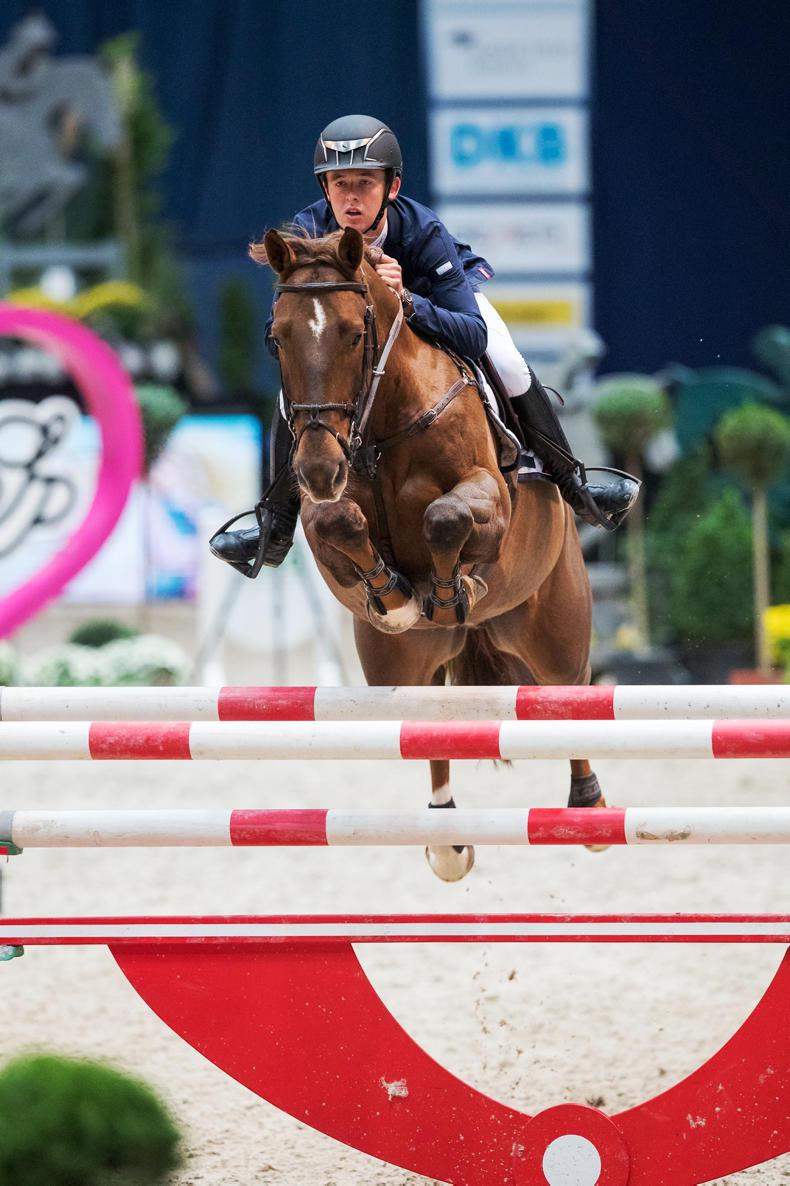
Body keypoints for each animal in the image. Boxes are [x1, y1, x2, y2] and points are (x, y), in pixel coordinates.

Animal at [261, 225, 606, 881]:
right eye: (278, 337)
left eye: (353, 332)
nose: (317, 468)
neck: (380, 426)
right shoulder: (323, 517)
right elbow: (339, 520)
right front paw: (395, 596)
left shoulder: (489, 494)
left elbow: (445, 518)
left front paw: (450, 588)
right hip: (398, 664)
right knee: (423, 724)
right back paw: (446, 838)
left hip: (554, 630)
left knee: (567, 695)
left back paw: (589, 809)